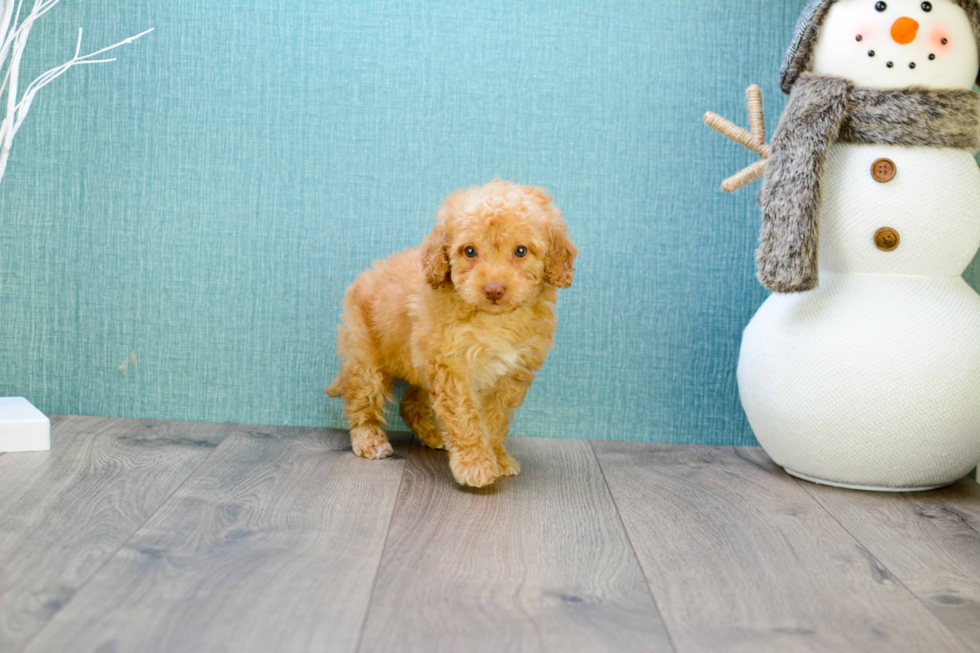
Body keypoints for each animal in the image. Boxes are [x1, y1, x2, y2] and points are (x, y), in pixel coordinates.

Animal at [326, 181, 580, 486]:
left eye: (521, 251)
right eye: (469, 251)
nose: (493, 290)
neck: (494, 320)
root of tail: (364, 276)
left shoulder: (510, 373)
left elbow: (495, 420)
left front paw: (497, 457)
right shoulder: (452, 368)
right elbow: (465, 418)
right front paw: (476, 464)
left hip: (419, 364)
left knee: (410, 403)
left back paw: (434, 435)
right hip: (365, 354)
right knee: (363, 400)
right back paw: (370, 439)